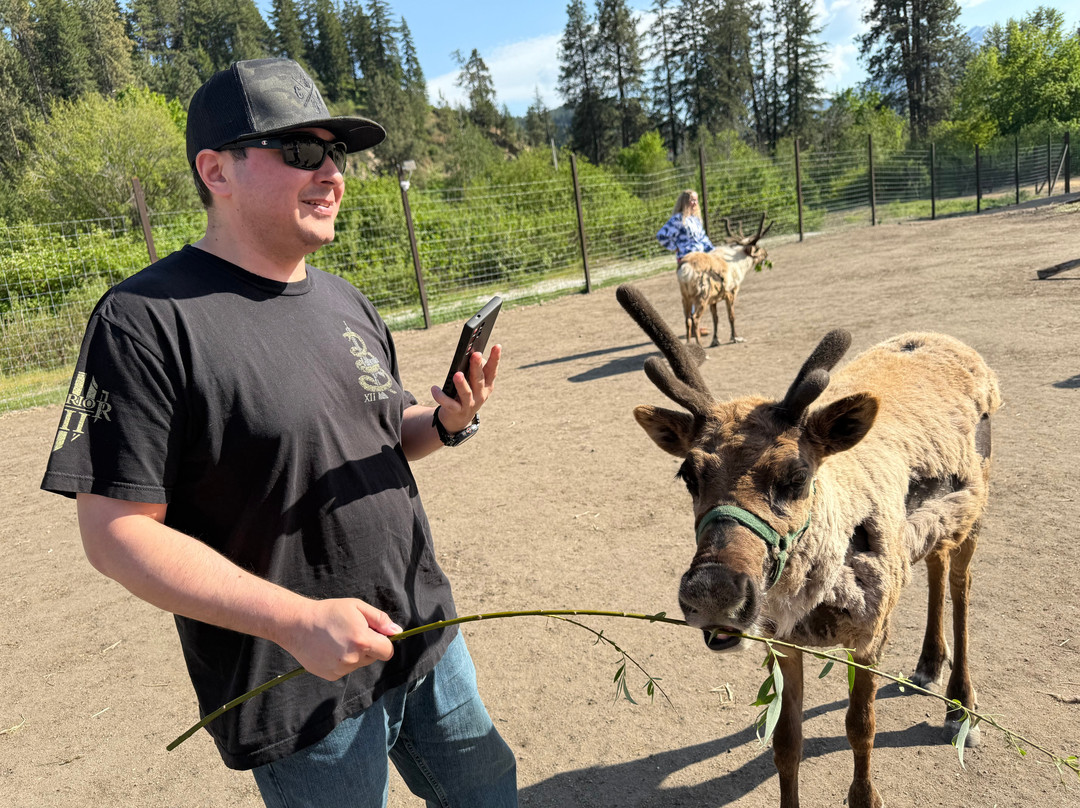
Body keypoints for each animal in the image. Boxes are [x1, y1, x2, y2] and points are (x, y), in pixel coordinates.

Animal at [616, 283, 1001, 808]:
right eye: (688, 474)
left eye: (797, 476)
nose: (713, 594)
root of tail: (949, 340)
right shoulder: (782, 641)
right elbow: (785, 741)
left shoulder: (868, 635)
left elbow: (860, 728)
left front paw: (866, 794)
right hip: (932, 527)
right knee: (936, 565)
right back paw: (927, 664)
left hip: (976, 506)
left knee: (962, 585)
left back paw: (961, 706)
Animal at [677, 213, 772, 348]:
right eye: (757, 248)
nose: (766, 253)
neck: (739, 264)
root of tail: (685, 267)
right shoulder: (731, 292)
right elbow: (731, 316)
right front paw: (735, 337)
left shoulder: (713, 300)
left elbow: (716, 319)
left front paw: (715, 340)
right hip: (702, 296)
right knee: (695, 318)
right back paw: (700, 345)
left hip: (685, 297)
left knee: (687, 319)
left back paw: (688, 345)